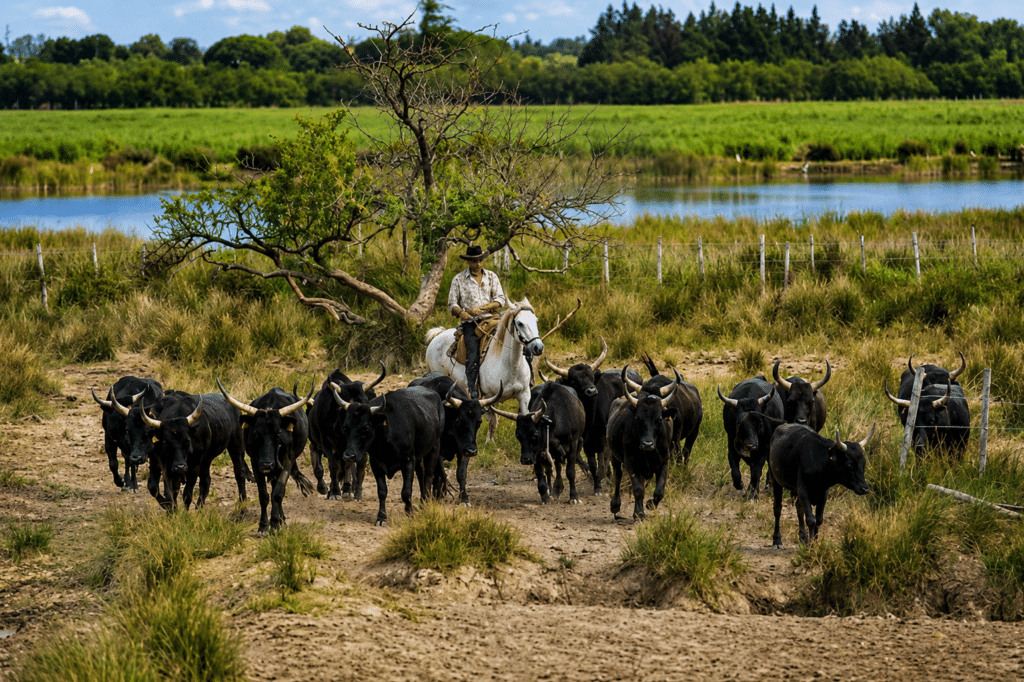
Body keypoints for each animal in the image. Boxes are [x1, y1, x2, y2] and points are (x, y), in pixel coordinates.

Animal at [425, 298, 544, 441]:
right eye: (520, 323)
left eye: (536, 320)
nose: (538, 347)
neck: (510, 365)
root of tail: (437, 336)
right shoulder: (489, 397)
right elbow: (491, 419)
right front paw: (489, 442)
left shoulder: (524, 395)